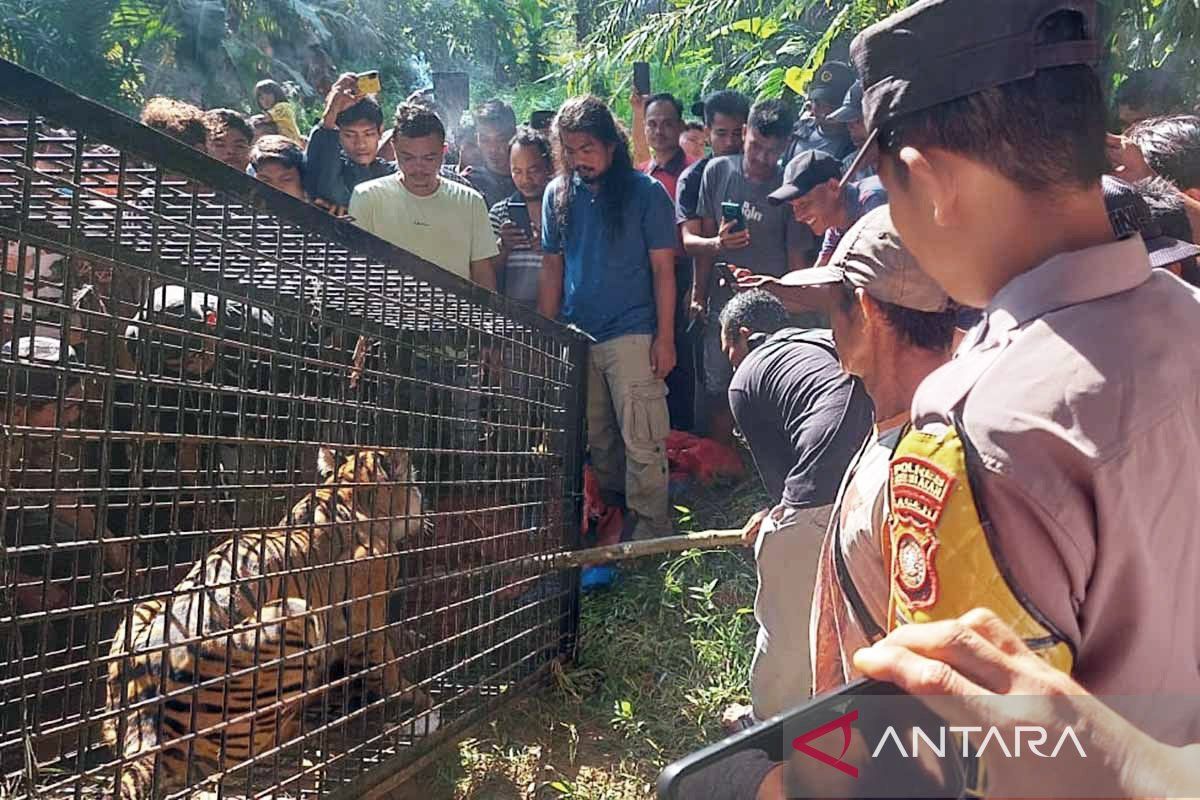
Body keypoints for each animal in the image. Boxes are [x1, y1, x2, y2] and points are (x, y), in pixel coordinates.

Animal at [104, 448, 441, 796]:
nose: (424, 501)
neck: (348, 495)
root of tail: (145, 736)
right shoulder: (366, 619)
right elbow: (388, 666)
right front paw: (420, 703)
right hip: (294, 614)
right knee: (249, 752)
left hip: (142, 608)